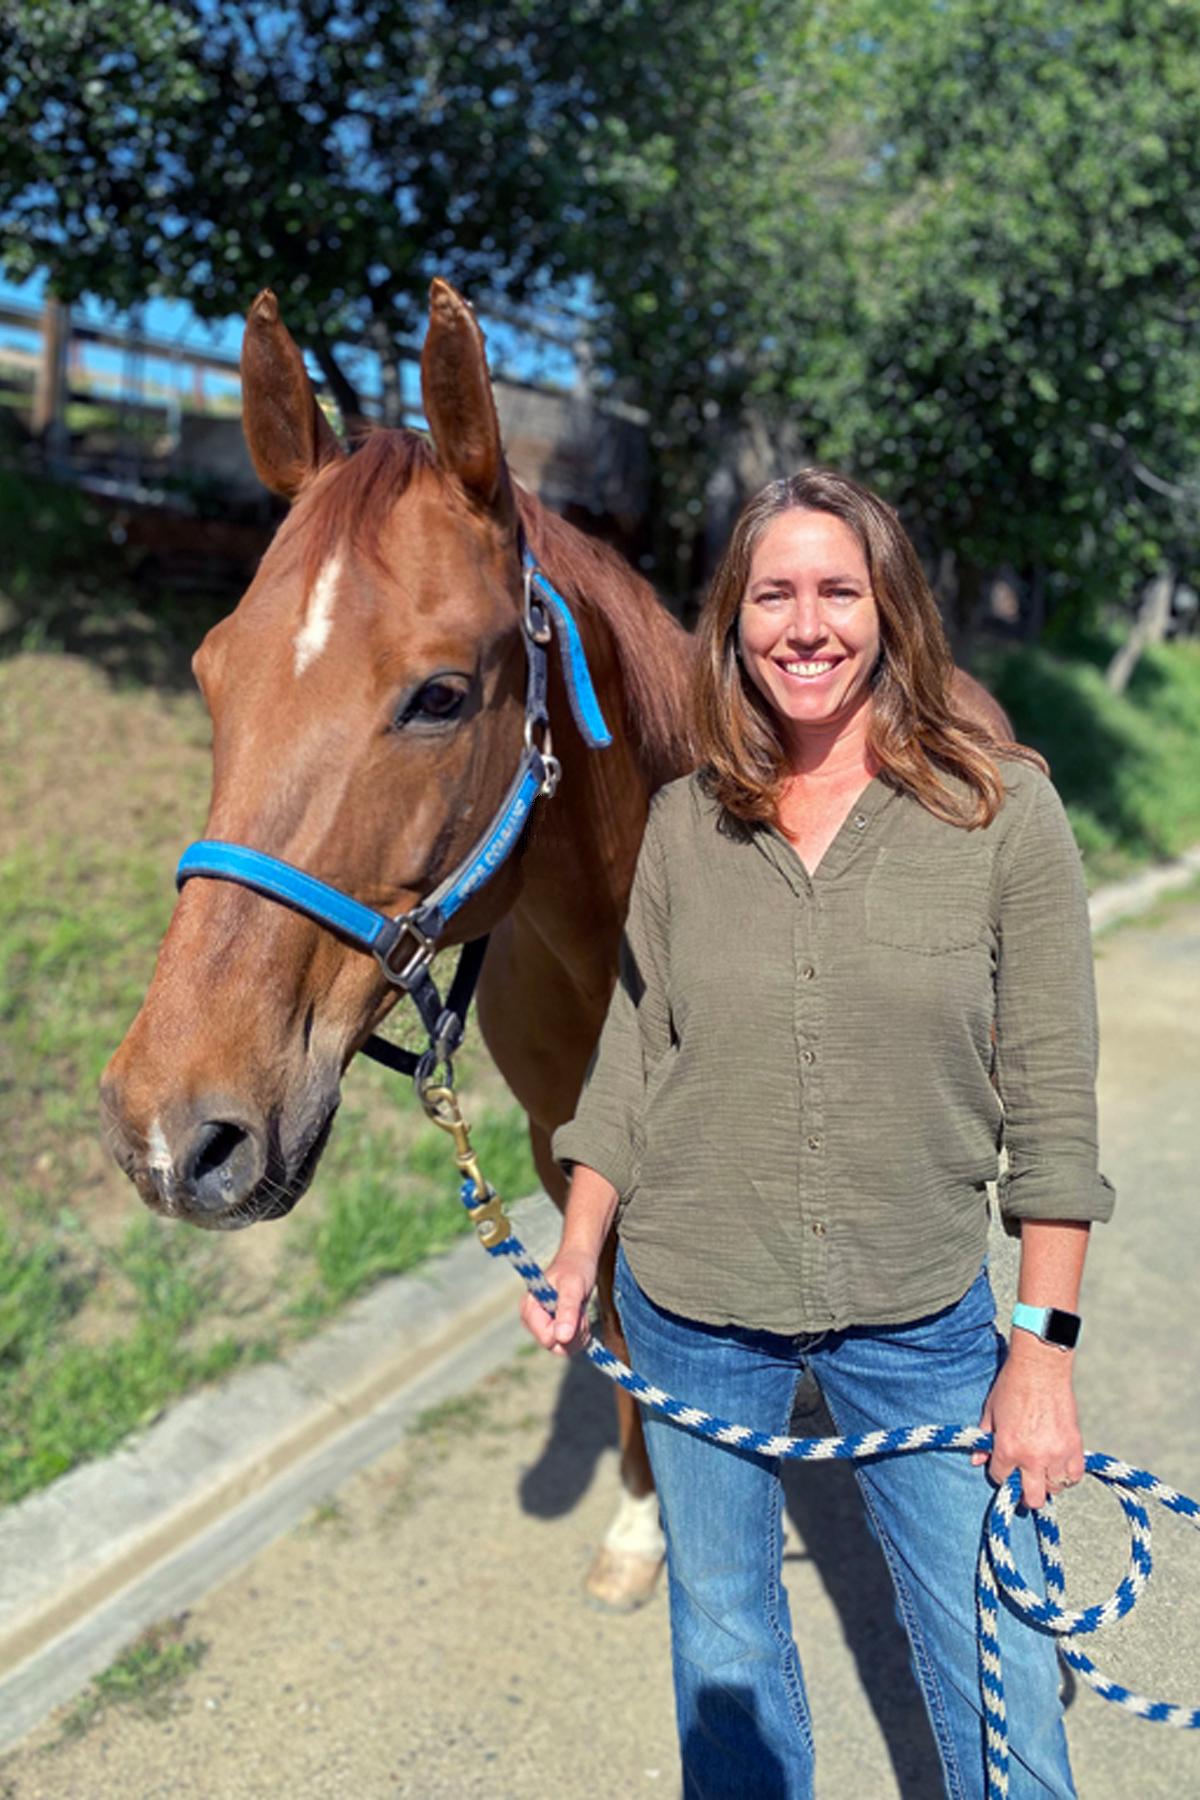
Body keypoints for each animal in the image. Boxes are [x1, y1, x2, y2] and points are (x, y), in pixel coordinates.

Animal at [101, 276, 1013, 1610]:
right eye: (213, 677)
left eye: (440, 694)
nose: (171, 1131)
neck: (610, 954)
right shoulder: (562, 1154)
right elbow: (626, 1331)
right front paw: (642, 1523)